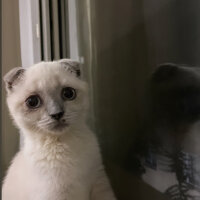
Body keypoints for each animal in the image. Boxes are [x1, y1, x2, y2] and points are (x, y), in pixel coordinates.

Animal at [1, 59, 115, 200]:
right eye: (32, 101)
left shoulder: (99, 183)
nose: (57, 114)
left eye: (68, 93)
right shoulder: (56, 195)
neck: (63, 144)